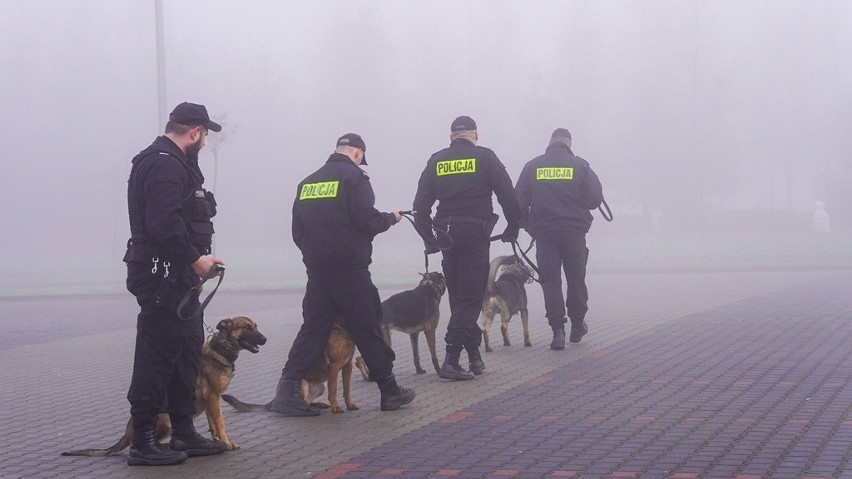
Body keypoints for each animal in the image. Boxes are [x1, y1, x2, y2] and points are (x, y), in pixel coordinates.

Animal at [62, 316, 266, 456]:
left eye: (255, 326)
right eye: (246, 327)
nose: (265, 339)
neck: (221, 350)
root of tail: (127, 431)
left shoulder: (210, 401)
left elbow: (213, 424)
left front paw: (216, 442)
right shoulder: (214, 397)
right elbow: (220, 423)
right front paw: (226, 443)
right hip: (165, 421)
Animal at [221, 322, 358, 416]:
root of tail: (274, 400)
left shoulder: (348, 365)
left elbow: (347, 388)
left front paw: (350, 403)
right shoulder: (334, 366)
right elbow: (333, 389)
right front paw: (336, 407)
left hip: (320, 387)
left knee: (308, 401)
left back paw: (319, 404)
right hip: (303, 383)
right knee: (303, 401)